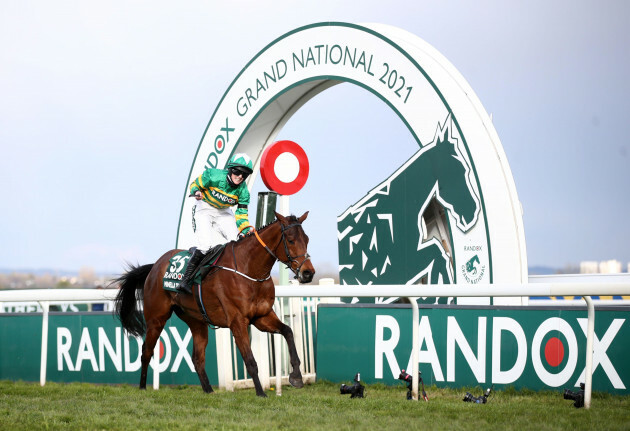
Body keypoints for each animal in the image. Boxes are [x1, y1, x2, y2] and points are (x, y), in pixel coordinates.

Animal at [113, 213, 316, 398]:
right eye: (290, 240)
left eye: (307, 239)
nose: (308, 273)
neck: (249, 270)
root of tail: (155, 265)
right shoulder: (237, 321)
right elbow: (250, 360)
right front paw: (261, 393)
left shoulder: (262, 316)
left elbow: (288, 331)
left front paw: (296, 376)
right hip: (156, 318)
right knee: (147, 351)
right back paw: (142, 388)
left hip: (197, 321)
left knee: (197, 358)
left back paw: (209, 391)